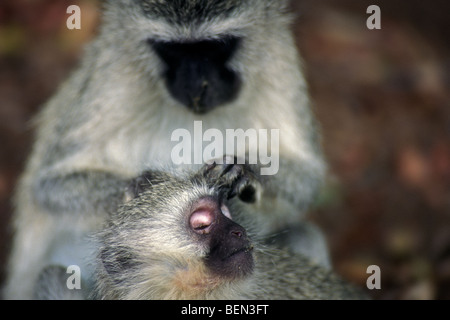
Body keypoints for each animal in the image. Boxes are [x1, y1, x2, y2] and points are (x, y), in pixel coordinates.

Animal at [3, 0, 326, 300]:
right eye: (171, 50)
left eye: (217, 47)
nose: (197, 87)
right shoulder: (112, 74)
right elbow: (51, 186)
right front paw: (143, 183)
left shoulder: (280, 62)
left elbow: (308, 181)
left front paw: (245, 170)